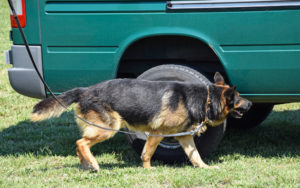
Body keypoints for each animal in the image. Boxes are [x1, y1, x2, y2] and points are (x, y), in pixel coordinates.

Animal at [30, 72, 251, 172]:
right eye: (239, 98)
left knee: (80, 145)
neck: (205, 100)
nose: (250, 104)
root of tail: (84, 90)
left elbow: (195, 156)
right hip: (109, 128)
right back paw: (93, 163)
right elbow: (147, 153)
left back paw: (87, 165)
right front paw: (148, 170)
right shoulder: (157, 133)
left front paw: (205, 167)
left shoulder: (185, 138)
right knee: (81, 142)